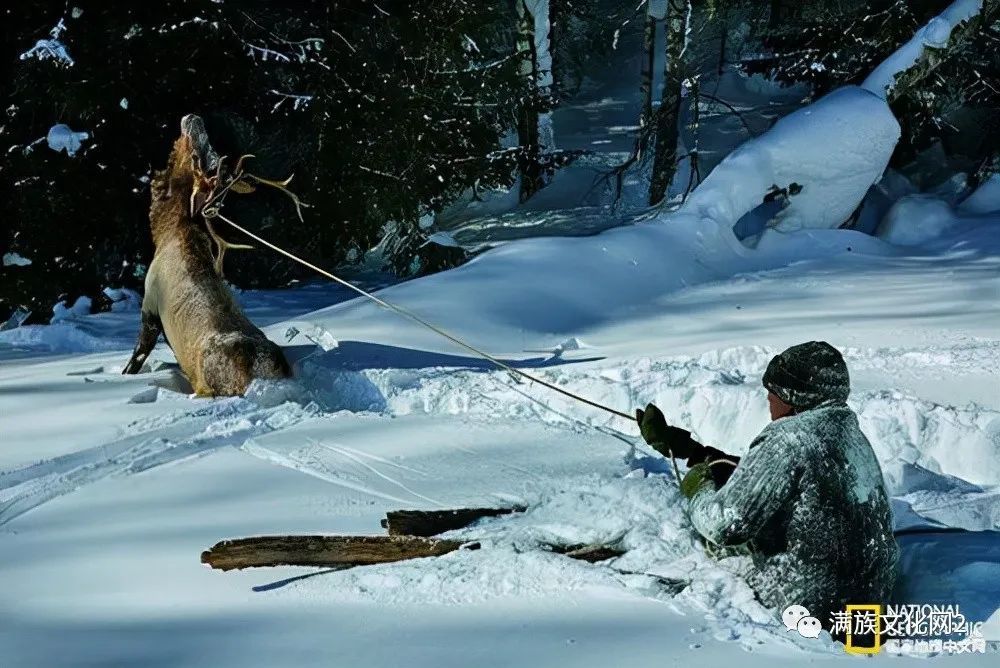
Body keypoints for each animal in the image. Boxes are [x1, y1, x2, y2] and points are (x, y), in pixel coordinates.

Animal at [122, 115, 290, 396]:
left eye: (195, 158)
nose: (194, 118)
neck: (166, 232)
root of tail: (263, 372)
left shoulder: (150, 304)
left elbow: (137, 355)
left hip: (208, 381)